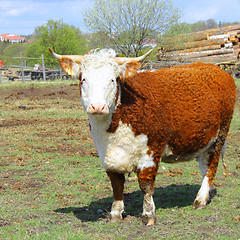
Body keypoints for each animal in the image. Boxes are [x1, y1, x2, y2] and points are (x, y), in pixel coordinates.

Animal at [49, 48, 235, 225]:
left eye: (112, 80)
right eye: (84, 80)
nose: (98, 106)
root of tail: (216, 69)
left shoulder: (151, 152)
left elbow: (146, 185)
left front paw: (148, 215)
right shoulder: (106, 155)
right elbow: (116, 185)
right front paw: (115, 213)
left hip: (219, 138)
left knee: (210, 168)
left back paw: (200, 200)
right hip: (204, 141)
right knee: (204, 167)